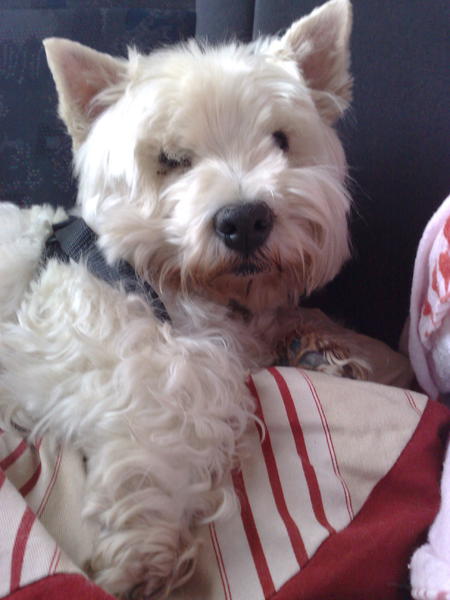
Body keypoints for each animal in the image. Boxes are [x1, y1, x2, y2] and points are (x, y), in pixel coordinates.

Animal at [0, 0, 364, 597]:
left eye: (281, 140)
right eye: (170, 158)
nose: (245, 220)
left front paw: (316, 350)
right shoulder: (84, 344)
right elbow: (178, 395)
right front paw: (147, 542)